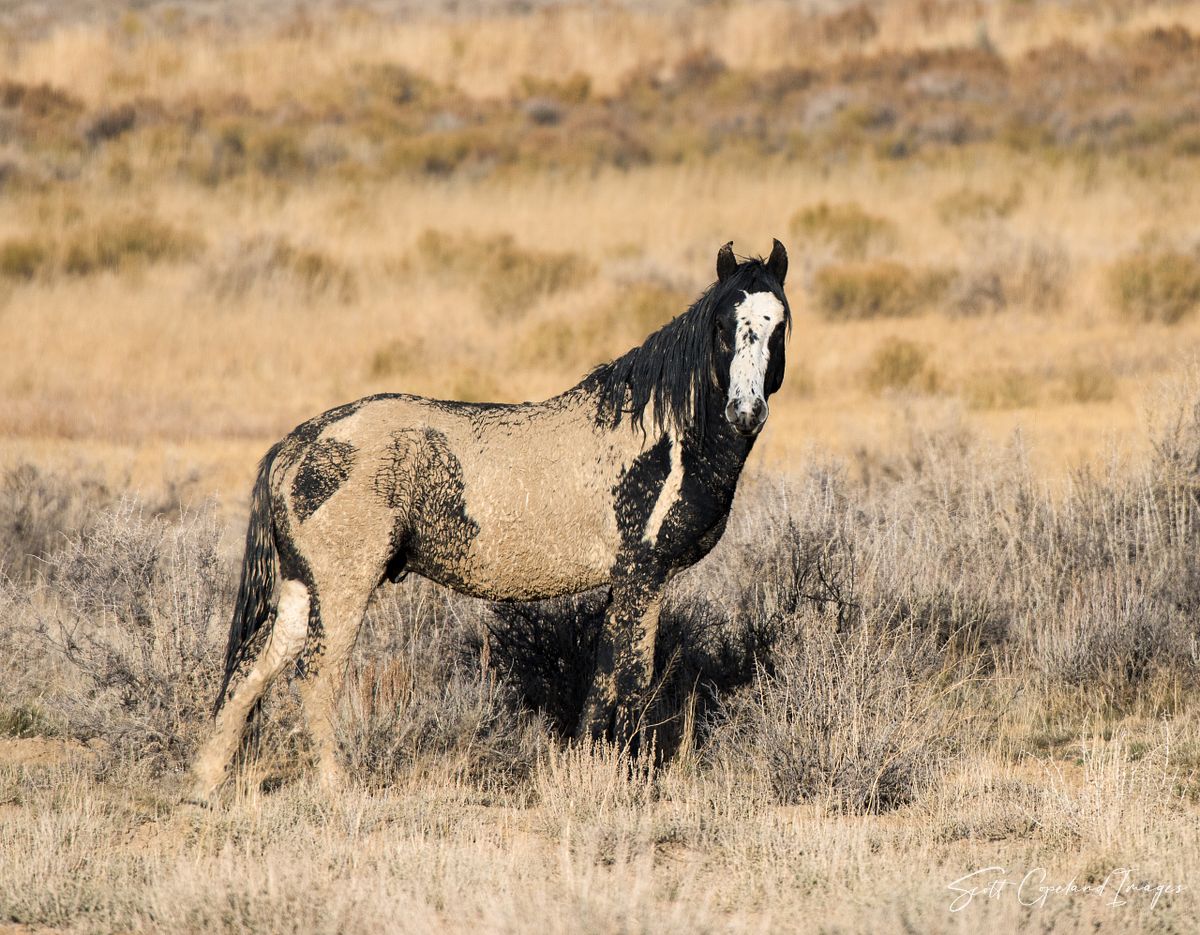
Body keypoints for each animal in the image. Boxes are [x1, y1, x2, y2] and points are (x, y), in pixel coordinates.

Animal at [187, 239, 790, 802]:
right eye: (722, 325)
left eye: (779, 323)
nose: (745, 412)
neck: (666, 436)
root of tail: (297, 444)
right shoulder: (644, 573)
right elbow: (627, 678)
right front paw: (619, 777)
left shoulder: (634, 581)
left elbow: (606, 678)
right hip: (342, 585)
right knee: (315, 675)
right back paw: (338, 787)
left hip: (300, 585)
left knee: (251, 672)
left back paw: (206, 784)